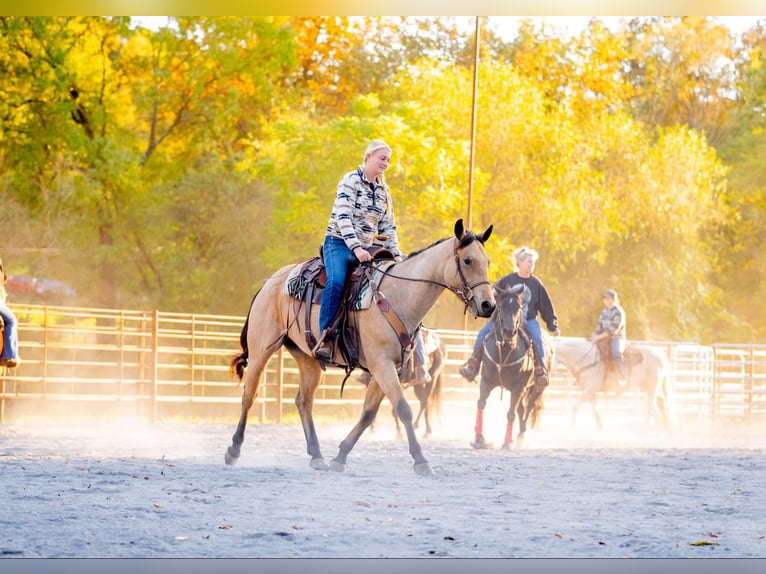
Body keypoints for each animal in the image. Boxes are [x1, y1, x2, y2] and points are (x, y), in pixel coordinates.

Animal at [225, 220, 498, 476]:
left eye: (487, 261)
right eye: (468, 260)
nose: (489, 305)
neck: (398, 297)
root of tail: (269, 282)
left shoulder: (388, 368)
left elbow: (368, 413)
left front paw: (340, 456)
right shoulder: (381, 365)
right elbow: (403, 409)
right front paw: (421, 460)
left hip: (307, 357)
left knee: (304, 401)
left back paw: (317, 455)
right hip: (261, 349)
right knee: (249, 395)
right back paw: (233, 450)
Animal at [468, 286, 552, 452]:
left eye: (518, 307)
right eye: (501, 307)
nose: (509, 331)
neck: (505, 349)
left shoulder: (518, 387)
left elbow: (511, 413)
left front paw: (507, 442)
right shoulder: (486, 381)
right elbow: (481, 404)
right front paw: (479, 439)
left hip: (536, 388)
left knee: (527, 408)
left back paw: (520, 436)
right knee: (522, 409)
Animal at [552, 338, 680, 432]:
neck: (586, 359)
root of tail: (660, 354)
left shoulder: (589, 389)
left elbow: (575, 406)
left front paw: (572, 427)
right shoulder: (590, 391)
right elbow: (595, 410)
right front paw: (600, 427)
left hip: (652, 386)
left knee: (651, 404)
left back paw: (644, 426)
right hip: (647, 386)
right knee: (662, 402)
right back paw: (666, 427)